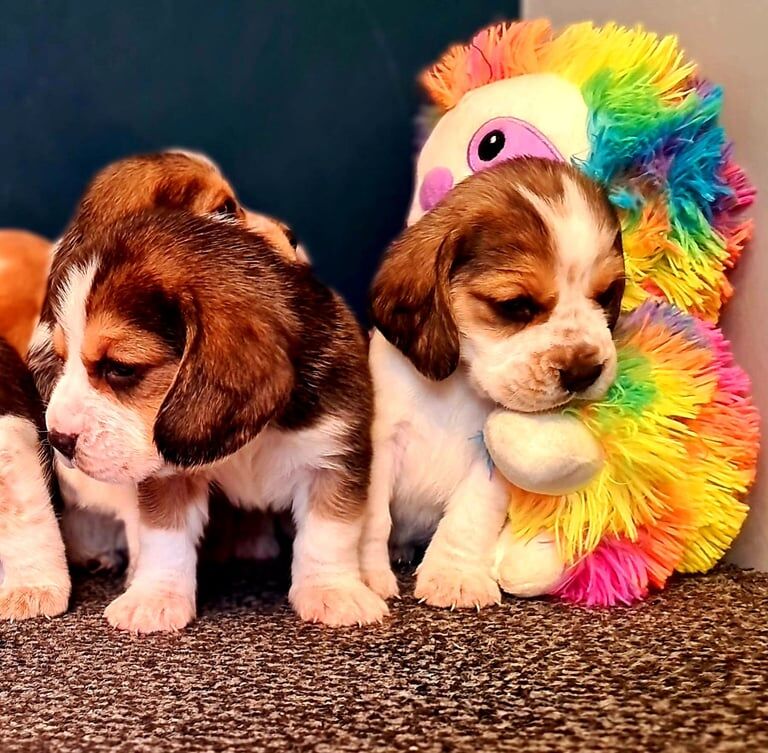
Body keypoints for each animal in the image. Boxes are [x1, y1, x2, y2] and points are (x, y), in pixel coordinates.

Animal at [30, 197, 390, 632]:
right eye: (62, 359)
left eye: (120, 368)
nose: (58, 440)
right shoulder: (167, 474)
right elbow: (164, 538)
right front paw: (155, 598)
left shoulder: (334, 455)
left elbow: (329, 531)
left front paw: (333, 592)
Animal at [362, 160, 624, 612]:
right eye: (516, 306)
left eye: (607, 294)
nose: (583, 372)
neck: (458, 386)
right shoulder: (380, 443)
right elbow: (374, 517)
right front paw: (367, 577)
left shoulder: (491, 460)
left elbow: (469, 517)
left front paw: (454, 578)